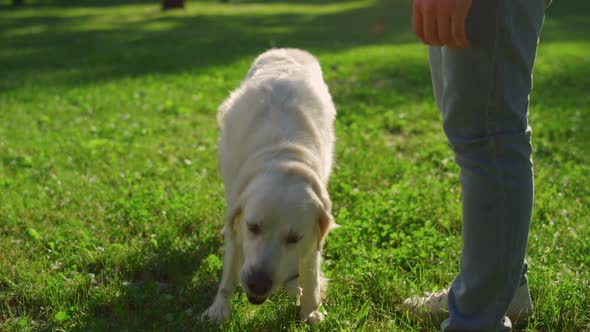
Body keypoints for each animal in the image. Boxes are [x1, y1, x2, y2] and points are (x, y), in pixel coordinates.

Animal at [202, 48, 338, 322]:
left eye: (294, 237)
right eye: (253, 227)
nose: (258, 283)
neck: (284, 156)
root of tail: (287, 49)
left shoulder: (312, 237)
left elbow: (311, 272)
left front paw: (311, 311)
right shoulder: (238, 218)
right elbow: (229, 271)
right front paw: (218, 310)